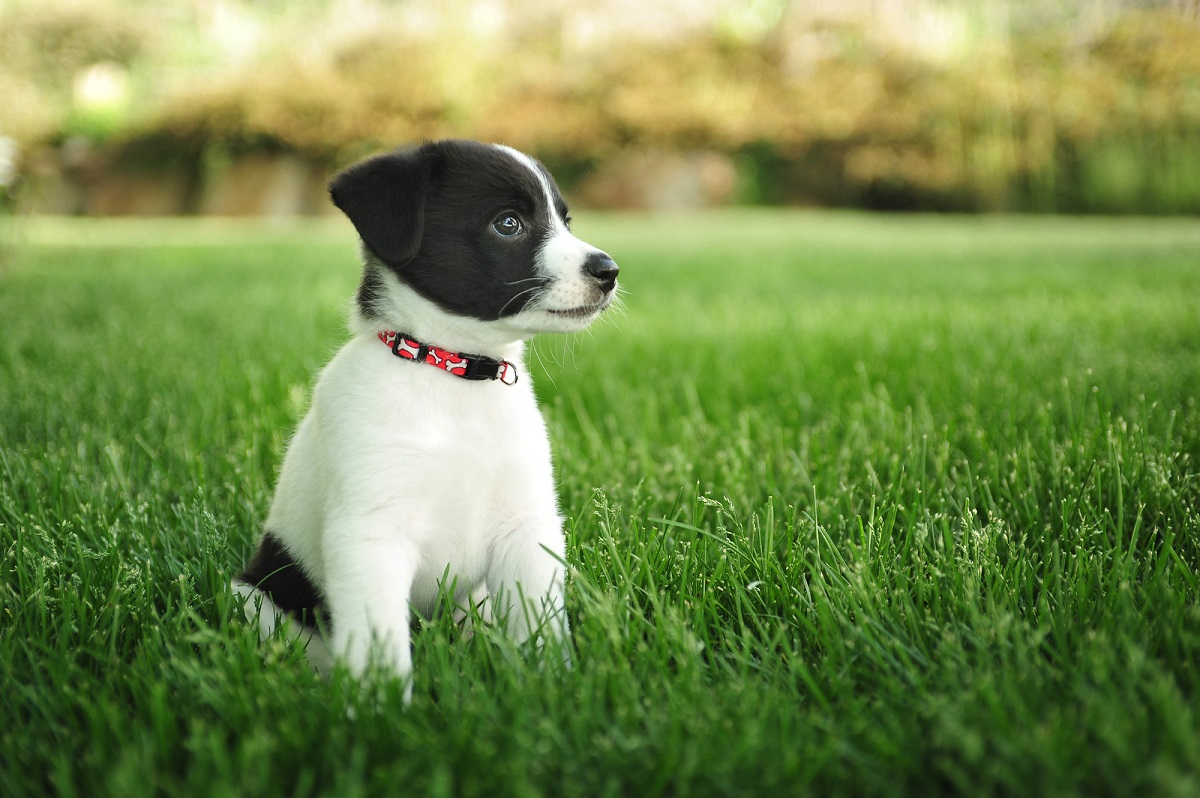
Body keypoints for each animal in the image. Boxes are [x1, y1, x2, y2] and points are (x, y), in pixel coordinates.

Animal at [230, 139, 619, 696]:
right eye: (508, 223)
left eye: (564, 221)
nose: (609, 271)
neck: (453, 376)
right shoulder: (371, 536)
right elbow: (380, 648)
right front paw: (383, 707)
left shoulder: (526, 527)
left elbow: (540, 629)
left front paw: (550, 689)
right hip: (258, 599)